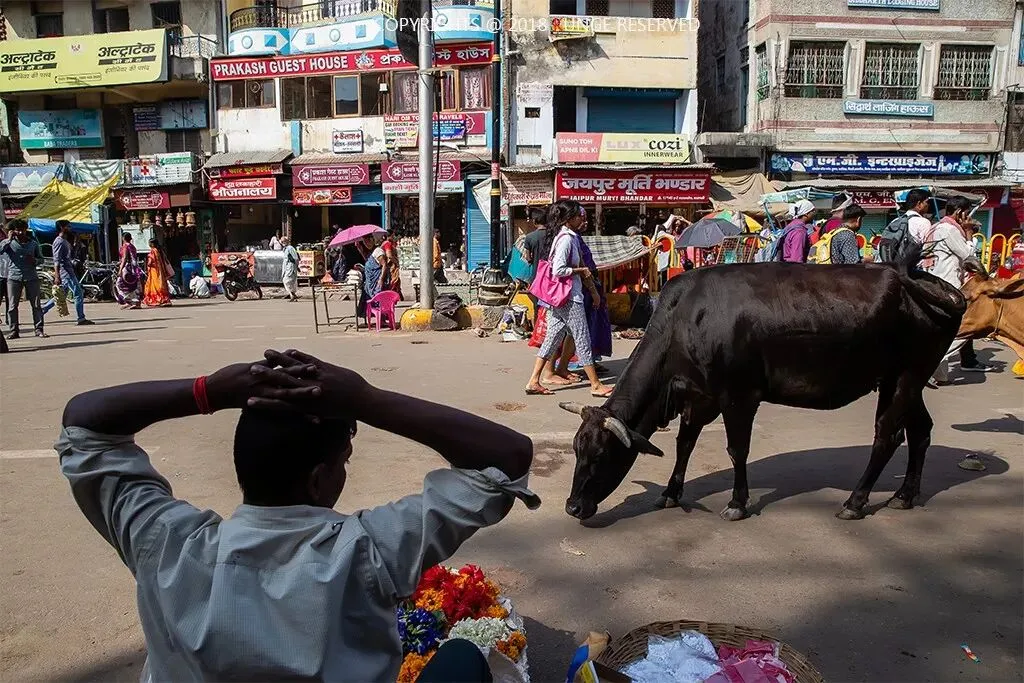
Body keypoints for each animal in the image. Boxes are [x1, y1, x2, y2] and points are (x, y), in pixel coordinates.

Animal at [560, 248, 967, 523]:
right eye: (577, 450)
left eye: (601, 454)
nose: (573, 506)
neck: (686, 319)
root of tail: (919, 279)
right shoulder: (699, 397)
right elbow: (684, 444)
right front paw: (671, 493)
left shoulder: (738, 396)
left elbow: (736, 449)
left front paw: (737, 503)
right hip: (901, 379)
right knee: (919, 431)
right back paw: (905, 494)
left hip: (906, 376)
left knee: (887, 436)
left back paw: (855, 501)